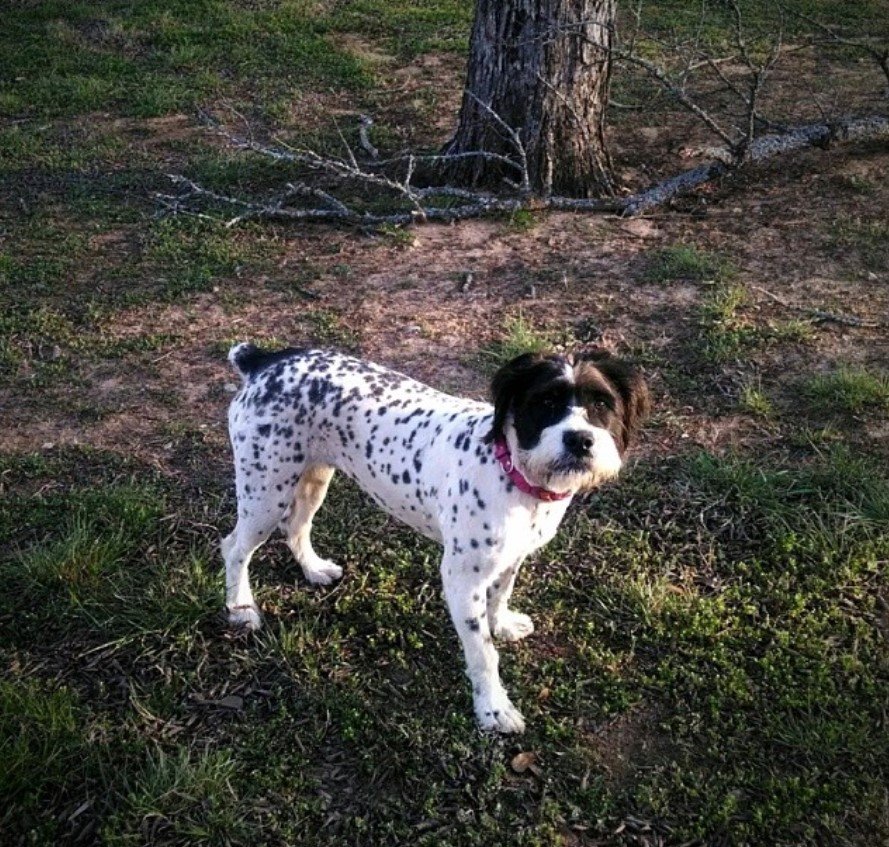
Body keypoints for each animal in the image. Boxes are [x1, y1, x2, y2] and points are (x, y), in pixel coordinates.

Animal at [224, 344, 644, 736]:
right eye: (545, 402)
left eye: (602, 403)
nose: (580, 440)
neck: (511, 471)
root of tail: (264, 360)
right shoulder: (462, 582)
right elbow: (483, 654)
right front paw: (493, 709)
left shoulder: (511, 558)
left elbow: (501, 596)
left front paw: (503, 624)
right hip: (265, 494)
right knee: (234, 547)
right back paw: (241, 607)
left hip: (312, 478)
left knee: (296, 527)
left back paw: (313, 569)